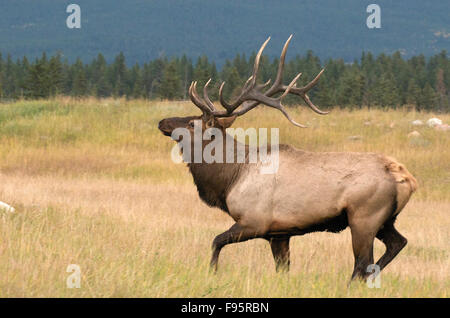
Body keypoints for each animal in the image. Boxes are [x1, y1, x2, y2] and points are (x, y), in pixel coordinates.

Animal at [159, 36, 418, 282]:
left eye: (192, 123)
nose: (162, 121)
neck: (230, 178)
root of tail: (407, 179)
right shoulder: (280, 233)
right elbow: (282, 269)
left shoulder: (255, 221)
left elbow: (216, 242)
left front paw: (211, 272)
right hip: (385, 220)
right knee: (397, 243)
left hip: (364, 217)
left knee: (362, 264)